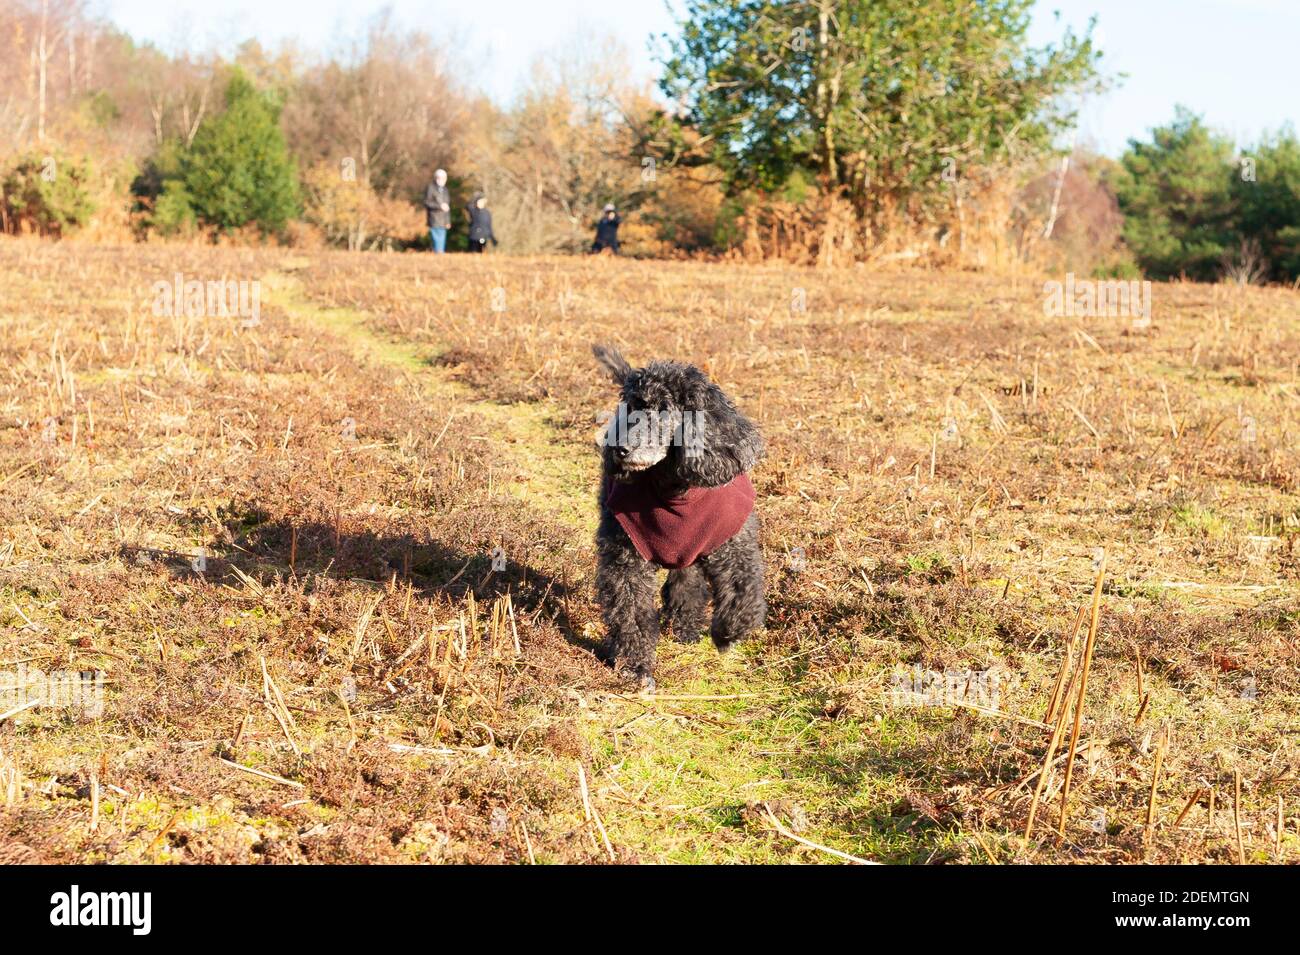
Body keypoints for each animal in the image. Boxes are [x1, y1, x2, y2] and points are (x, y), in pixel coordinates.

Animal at [590, 348, 759, 691]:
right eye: (632, 406)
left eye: (665, 409)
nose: (620, 449)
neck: (676, 489)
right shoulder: (625, 558)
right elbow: (631, 611)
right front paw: (635, 666)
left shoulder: (734, 545)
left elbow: (742, 595)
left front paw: (725, 635)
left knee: (688, 583)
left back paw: (687, 630)